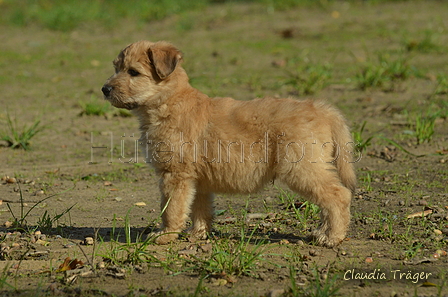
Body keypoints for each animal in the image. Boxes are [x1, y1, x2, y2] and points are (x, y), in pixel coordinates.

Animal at [102, 40, 356, 246]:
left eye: (133, 72)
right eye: (115, 68)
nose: (105, 89)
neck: (168, 101)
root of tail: (321, 109)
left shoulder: (175, 175)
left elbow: (171, 209)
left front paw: (165, 235)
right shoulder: (198, 180)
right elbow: (199, 209)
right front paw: (197, 234)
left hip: (301, 169)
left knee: (339, 196)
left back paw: (333, 237)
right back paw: (322, 232)